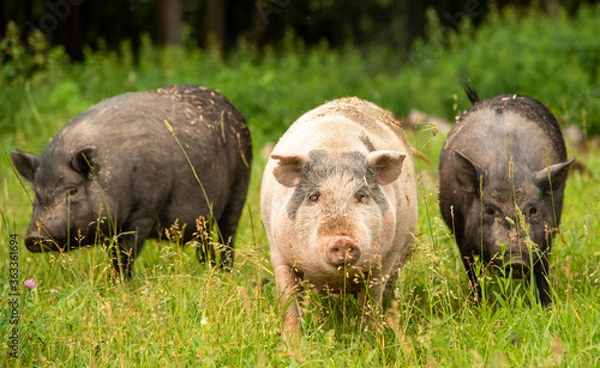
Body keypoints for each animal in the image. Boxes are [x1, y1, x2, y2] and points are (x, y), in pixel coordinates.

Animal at [12, 85, 251, 278]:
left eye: (73, 191)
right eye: (37, 195)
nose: (33, 236)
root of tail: (236, 113)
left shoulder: (145, 210)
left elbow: (125, 254)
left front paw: (120, 283)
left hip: (239, 190)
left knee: (228, 234)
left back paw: (225, 272)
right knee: (205, 241)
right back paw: (207, 269)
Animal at [260, 98, 420, 336]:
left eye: (361, 196)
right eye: (314, 196)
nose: (343, 240)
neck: (336, 147)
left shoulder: (384, 260)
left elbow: (371, 302)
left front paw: (370, 337)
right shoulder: (278, 251)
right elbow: (289, 300)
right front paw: (292, 341)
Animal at [438, 85, 576, 304]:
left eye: (533, 209)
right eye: (489, 210)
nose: (517, 261)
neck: (507, 169)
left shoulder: (547, 234)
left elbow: (542, 272)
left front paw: (546, 305)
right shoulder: (460, 235)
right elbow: (472, 274)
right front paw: (479, 305)